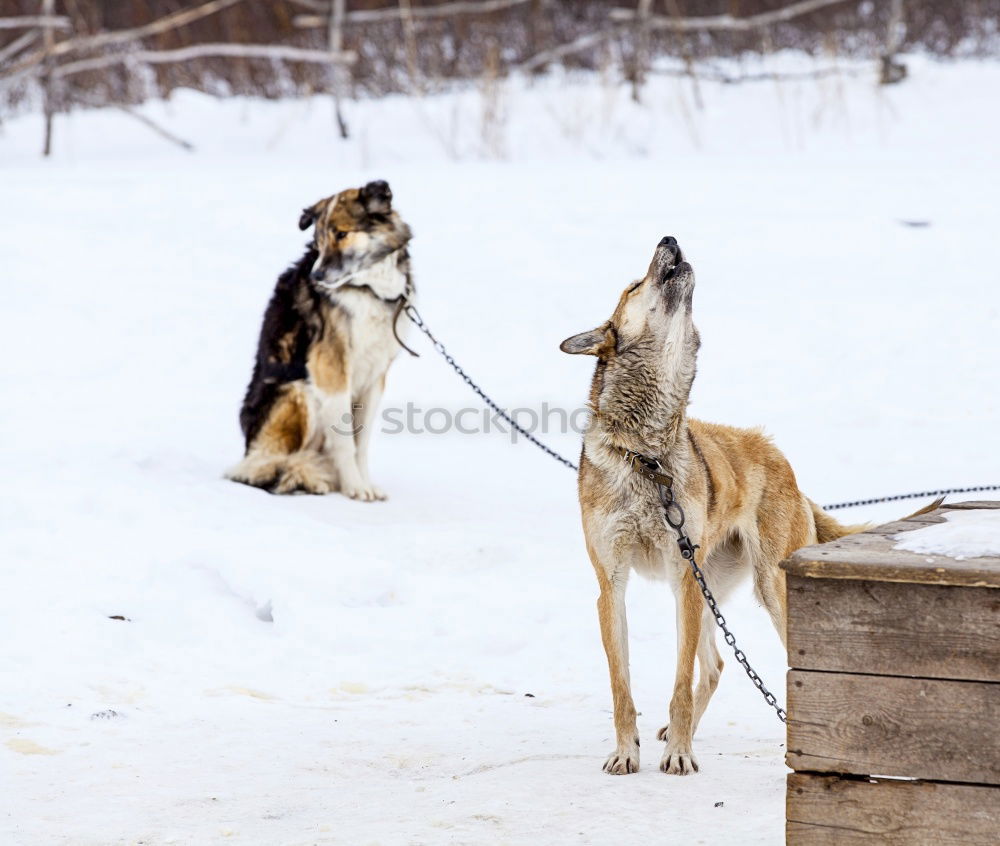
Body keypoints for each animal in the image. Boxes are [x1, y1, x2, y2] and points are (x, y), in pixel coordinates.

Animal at [560, 237, 864, 776]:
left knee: (727, 665)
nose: (669, 239)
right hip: (704, 591)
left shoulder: (682, 576)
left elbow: (680, 682)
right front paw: (627, 752)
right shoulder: (612, 585)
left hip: (759, 592)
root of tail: (782, 460)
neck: (648, 457)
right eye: (634, 285)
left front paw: (679, 753)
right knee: (719, 665)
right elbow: (622, 687)